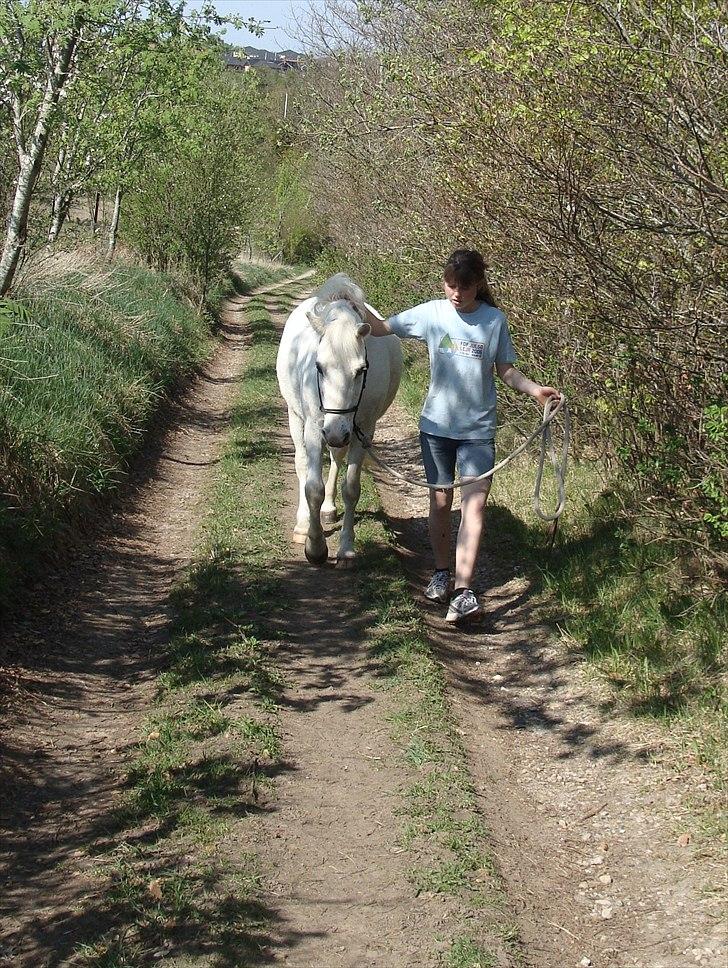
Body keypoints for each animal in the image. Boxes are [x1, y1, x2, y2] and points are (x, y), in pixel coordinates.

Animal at [278, 272, 404, 564]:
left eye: (361, 370)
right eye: (319, 367)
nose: (335, 433)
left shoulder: (362, 430)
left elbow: (351, 489)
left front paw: (346, 547)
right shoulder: (316, 428)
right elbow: (312, 487)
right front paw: (315, 547)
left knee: (336, 458)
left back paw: (328, 509)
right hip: (298, 419)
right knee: (301, 464)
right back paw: (302, 524)